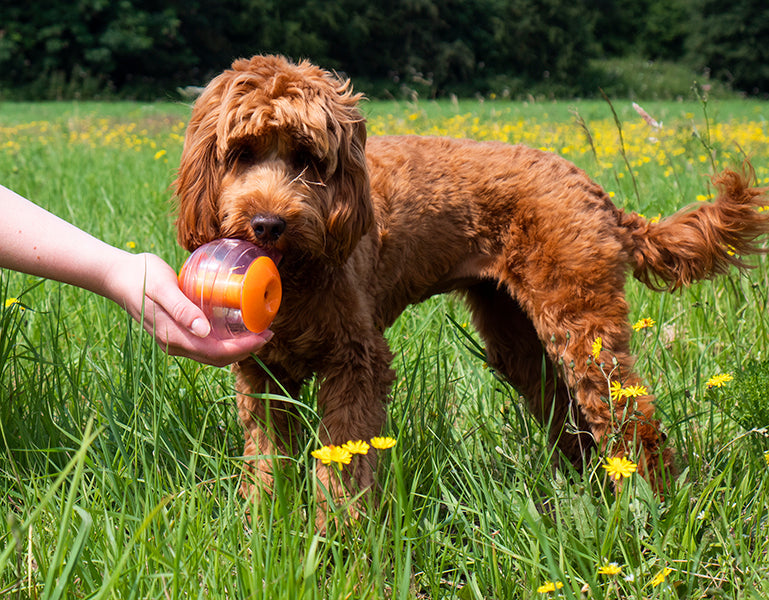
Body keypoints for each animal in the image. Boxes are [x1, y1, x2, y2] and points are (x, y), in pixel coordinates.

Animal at [174, 52, 768, 510]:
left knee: (629, 417)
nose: (267, 224)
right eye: (240, 153)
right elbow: (266, 464)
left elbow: (342, 470)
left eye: (307, 157)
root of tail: (596, 194)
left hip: (581, 323)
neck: (298, 271)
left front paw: (341, 545)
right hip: (516, 333)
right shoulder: (261, 373)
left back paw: (650, 508)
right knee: (568, 413)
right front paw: (263, 530)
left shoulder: (354, 363)